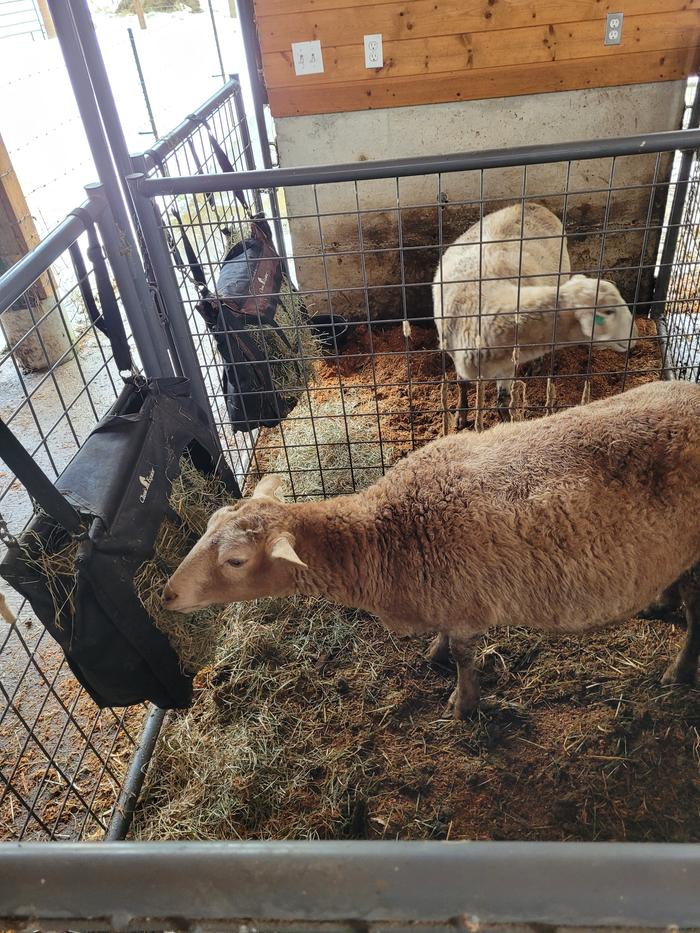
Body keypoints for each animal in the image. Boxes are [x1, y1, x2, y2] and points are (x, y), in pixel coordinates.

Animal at [438, 204, 640, 430]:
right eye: (609, 311)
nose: (636, 335)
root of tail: (533, 205)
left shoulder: (508, 363)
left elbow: (502, 401)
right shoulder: (454, 351)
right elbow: (462, 384)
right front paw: (460, 415)